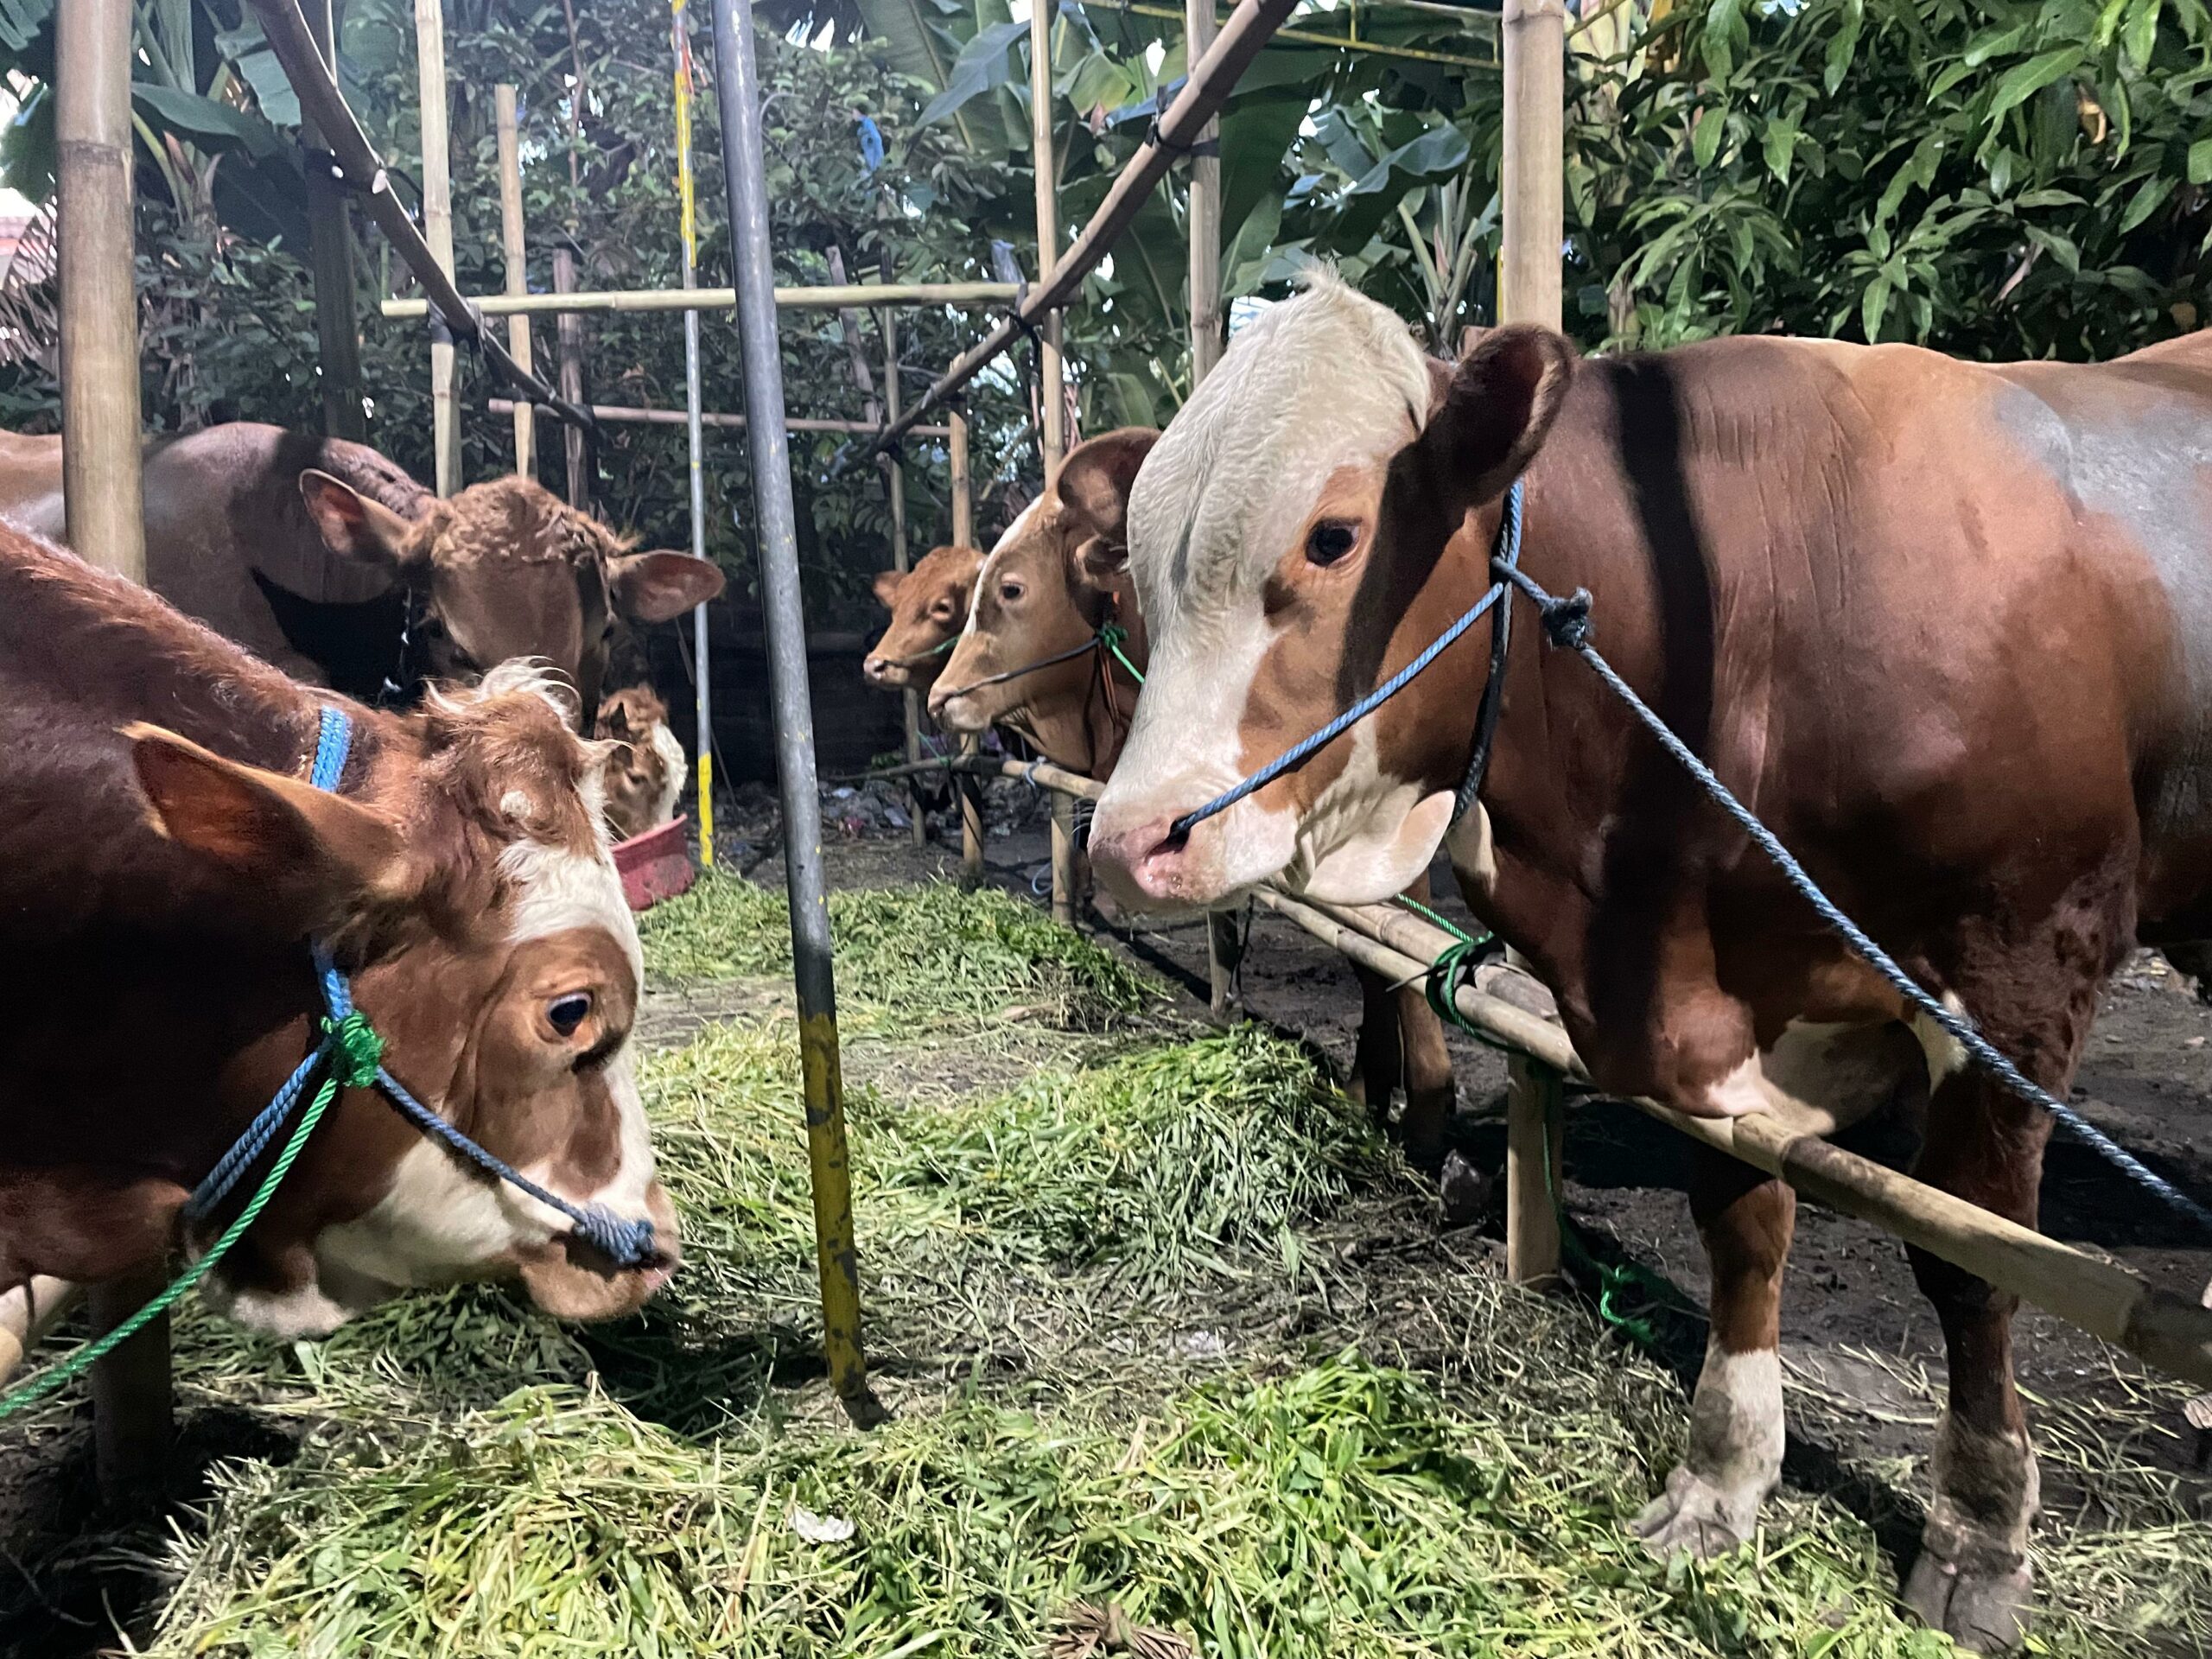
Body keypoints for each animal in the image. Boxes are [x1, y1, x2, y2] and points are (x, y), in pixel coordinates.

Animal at [1084, 273, 2212, 1654]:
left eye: (1334, 537)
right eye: (1140, 566)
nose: (1132, 844)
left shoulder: (2019, 976)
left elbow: (1970, 1263)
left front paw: (1980, 1533)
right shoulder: (1713, 1015)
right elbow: (1742, 1226)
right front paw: (1721, 1480)